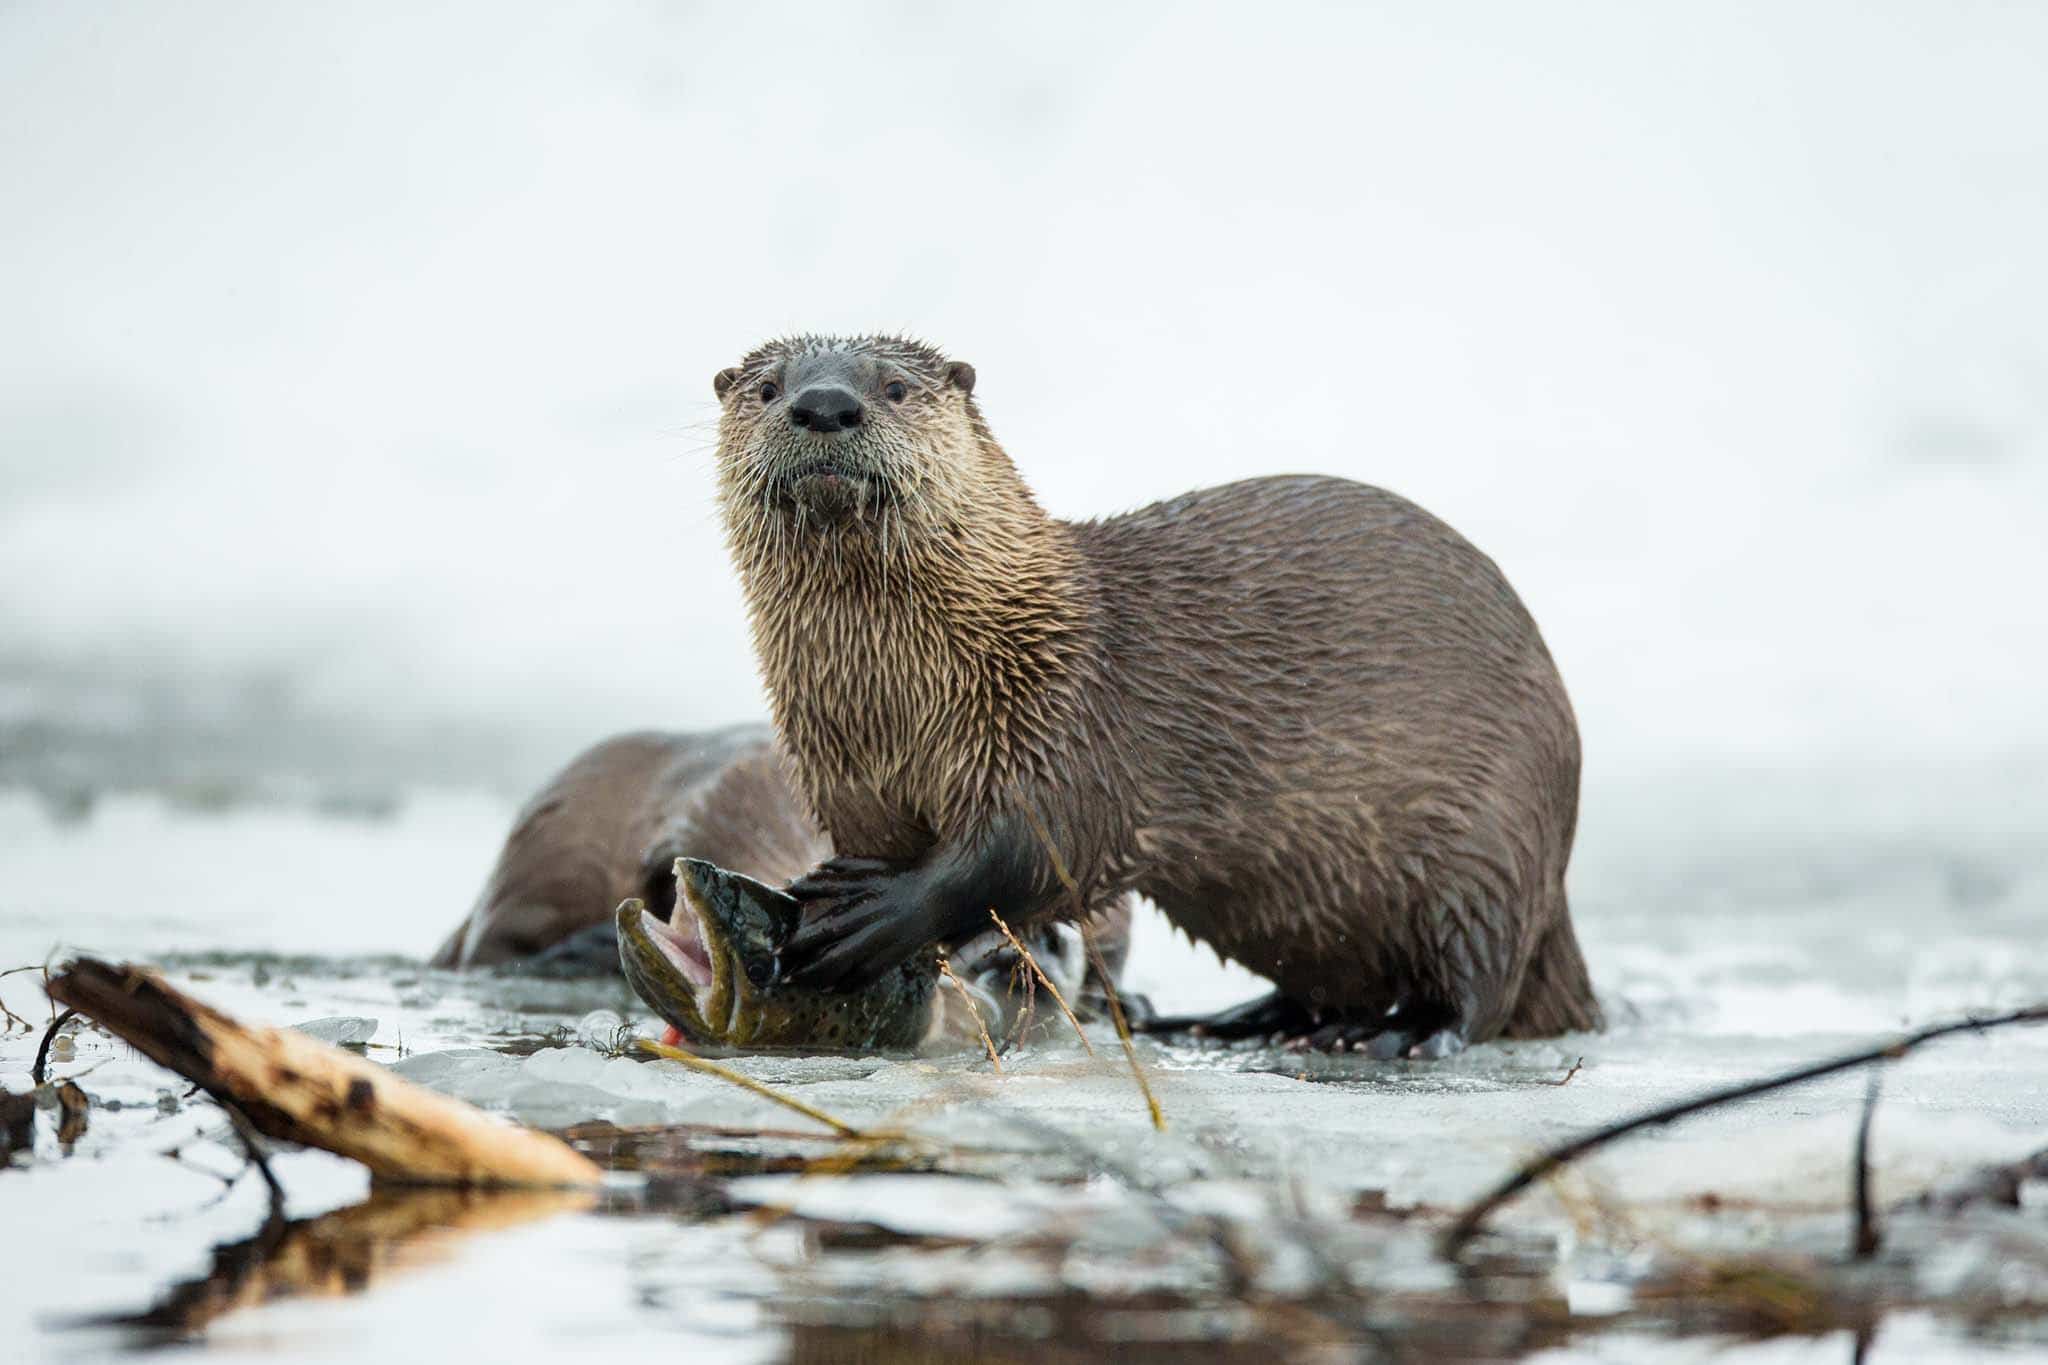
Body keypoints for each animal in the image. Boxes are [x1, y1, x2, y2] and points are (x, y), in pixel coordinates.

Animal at [713, 334, 1601, 1057]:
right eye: (767, 388)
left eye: (894, 386)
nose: (825, 403)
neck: (902, 698)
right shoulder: (844, 773)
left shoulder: (1066, 722)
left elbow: (1032, 849)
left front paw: (879, 912)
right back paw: (1236, 1019)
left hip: (1487, 840)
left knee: (1480, 984)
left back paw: (1402, 1033)